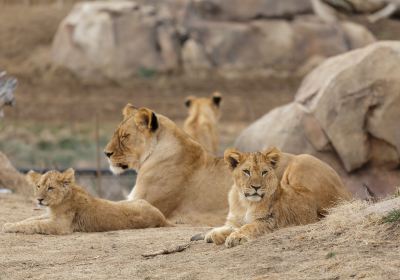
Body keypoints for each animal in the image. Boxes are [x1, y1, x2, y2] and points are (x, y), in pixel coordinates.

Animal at [1, 168, 170, 234]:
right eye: (38, 186)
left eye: (50, 188)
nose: (39, 199)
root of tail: (162, 218)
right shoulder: (49, 215)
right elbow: (30, 219)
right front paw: (10, 223)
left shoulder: (60, 225)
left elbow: (34, 224)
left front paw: (8, 226)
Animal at [205, 147, 352, 247]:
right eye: (246, 171)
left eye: (264, 172)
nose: (256, 187)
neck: (244, 202)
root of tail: (346, 190)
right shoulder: (235, 219)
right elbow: (231, 226)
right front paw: (214, 234)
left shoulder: (269, 220)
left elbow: (248, 227)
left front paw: (235, 237)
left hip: (299, 163)